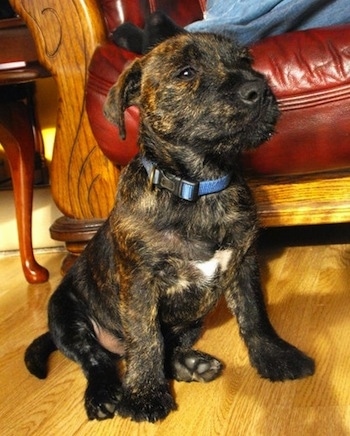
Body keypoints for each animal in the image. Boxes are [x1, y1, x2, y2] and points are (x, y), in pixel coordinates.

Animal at [24, 31, 314, 422]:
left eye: (246, 61)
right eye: (186, 72)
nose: (259, 89)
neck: (199, 187)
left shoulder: (243, 264)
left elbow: (254, 313)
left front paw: (274, 356)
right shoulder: (140, 282)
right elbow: (146, 337)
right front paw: (145, 394)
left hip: (192, 321)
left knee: (167, 347)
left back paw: (189, 364)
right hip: (65, 314)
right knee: (96, 357)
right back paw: (104, 392)